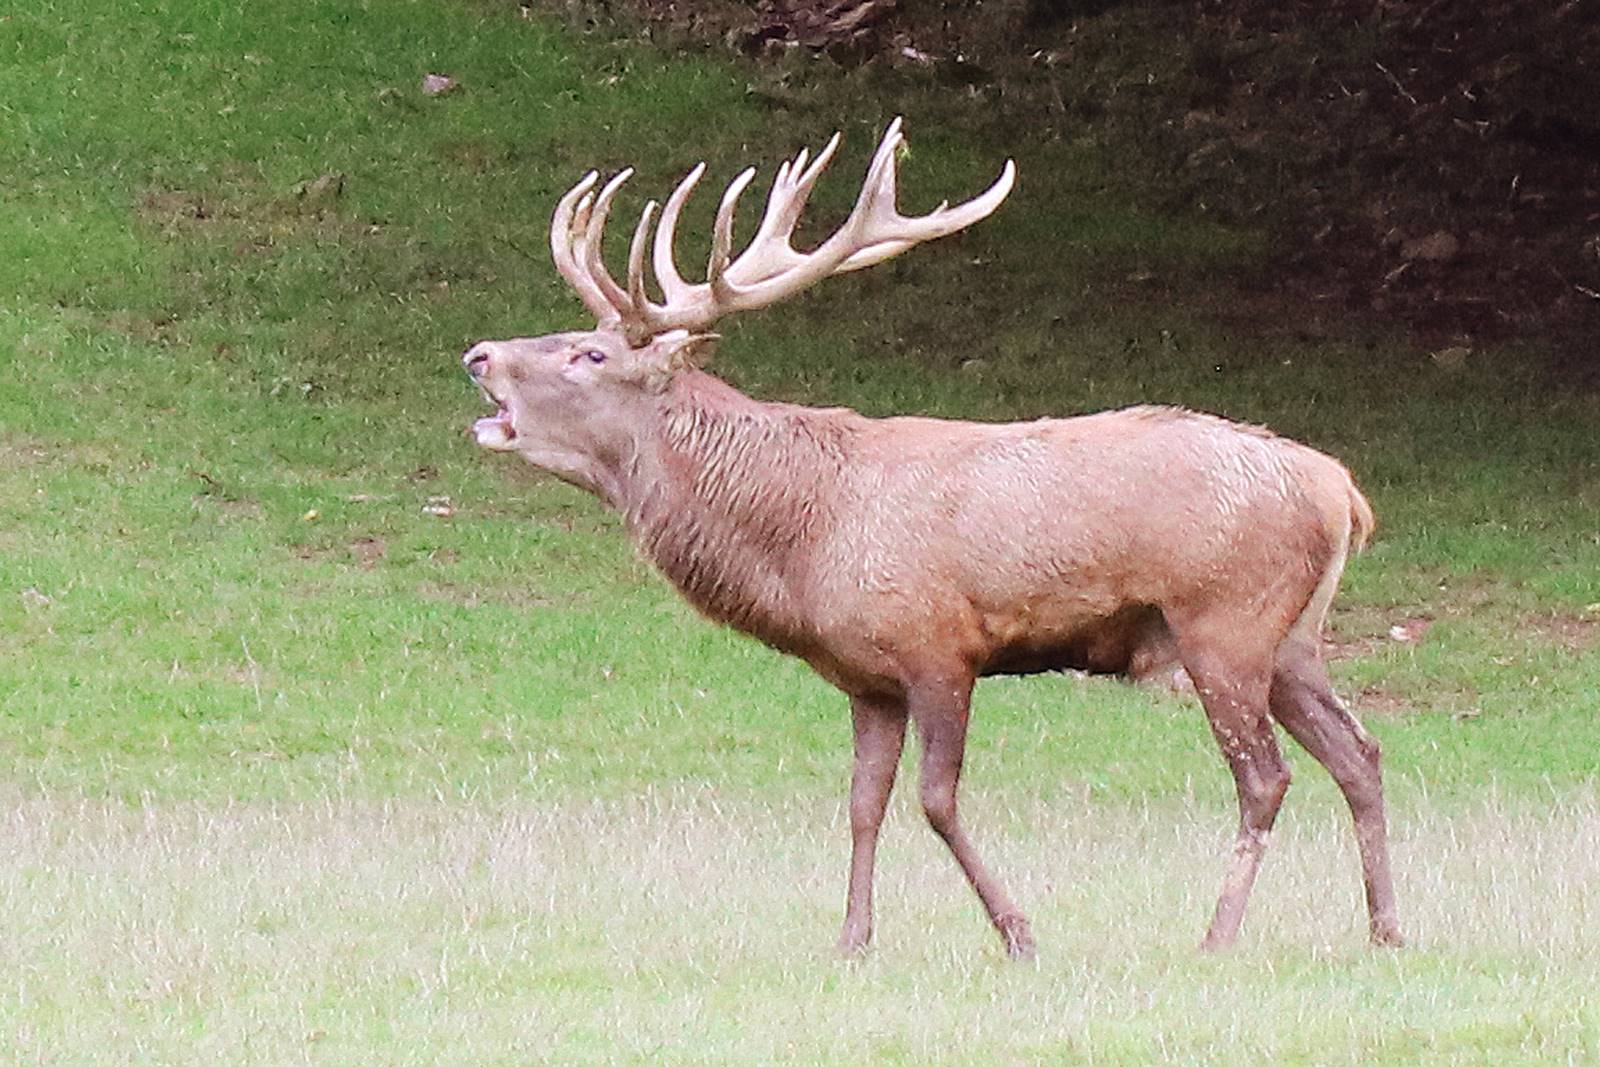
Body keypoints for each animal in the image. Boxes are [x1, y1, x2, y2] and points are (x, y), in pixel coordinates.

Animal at [461, 118, 1403, 959]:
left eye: (589, 355)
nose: (479, 354)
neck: (806, 541)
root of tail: (1342, 490)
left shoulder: (939, 645)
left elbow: (936, 800)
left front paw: (1019, 932)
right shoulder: (866, 678)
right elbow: (863, 803)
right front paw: (851, 939)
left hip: (1223, 620)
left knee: (1265, 776)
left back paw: (1217, 936)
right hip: (1293, 638)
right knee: (1359, 752)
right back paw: (1386, 928)